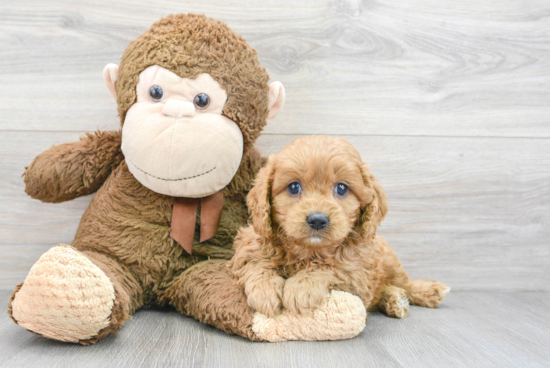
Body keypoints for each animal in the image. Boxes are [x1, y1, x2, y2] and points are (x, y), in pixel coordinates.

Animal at [231, 136, 450, 320]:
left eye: (342, 188)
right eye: (293, 187)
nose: (317, 220)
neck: (308, 251)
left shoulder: (359, 274)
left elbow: (333, 267)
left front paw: (302, 287)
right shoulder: (248, 246)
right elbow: (255, 263)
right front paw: (264, 291)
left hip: (389, 260)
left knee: (404, 282)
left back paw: (426, 292)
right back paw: (394, 300)